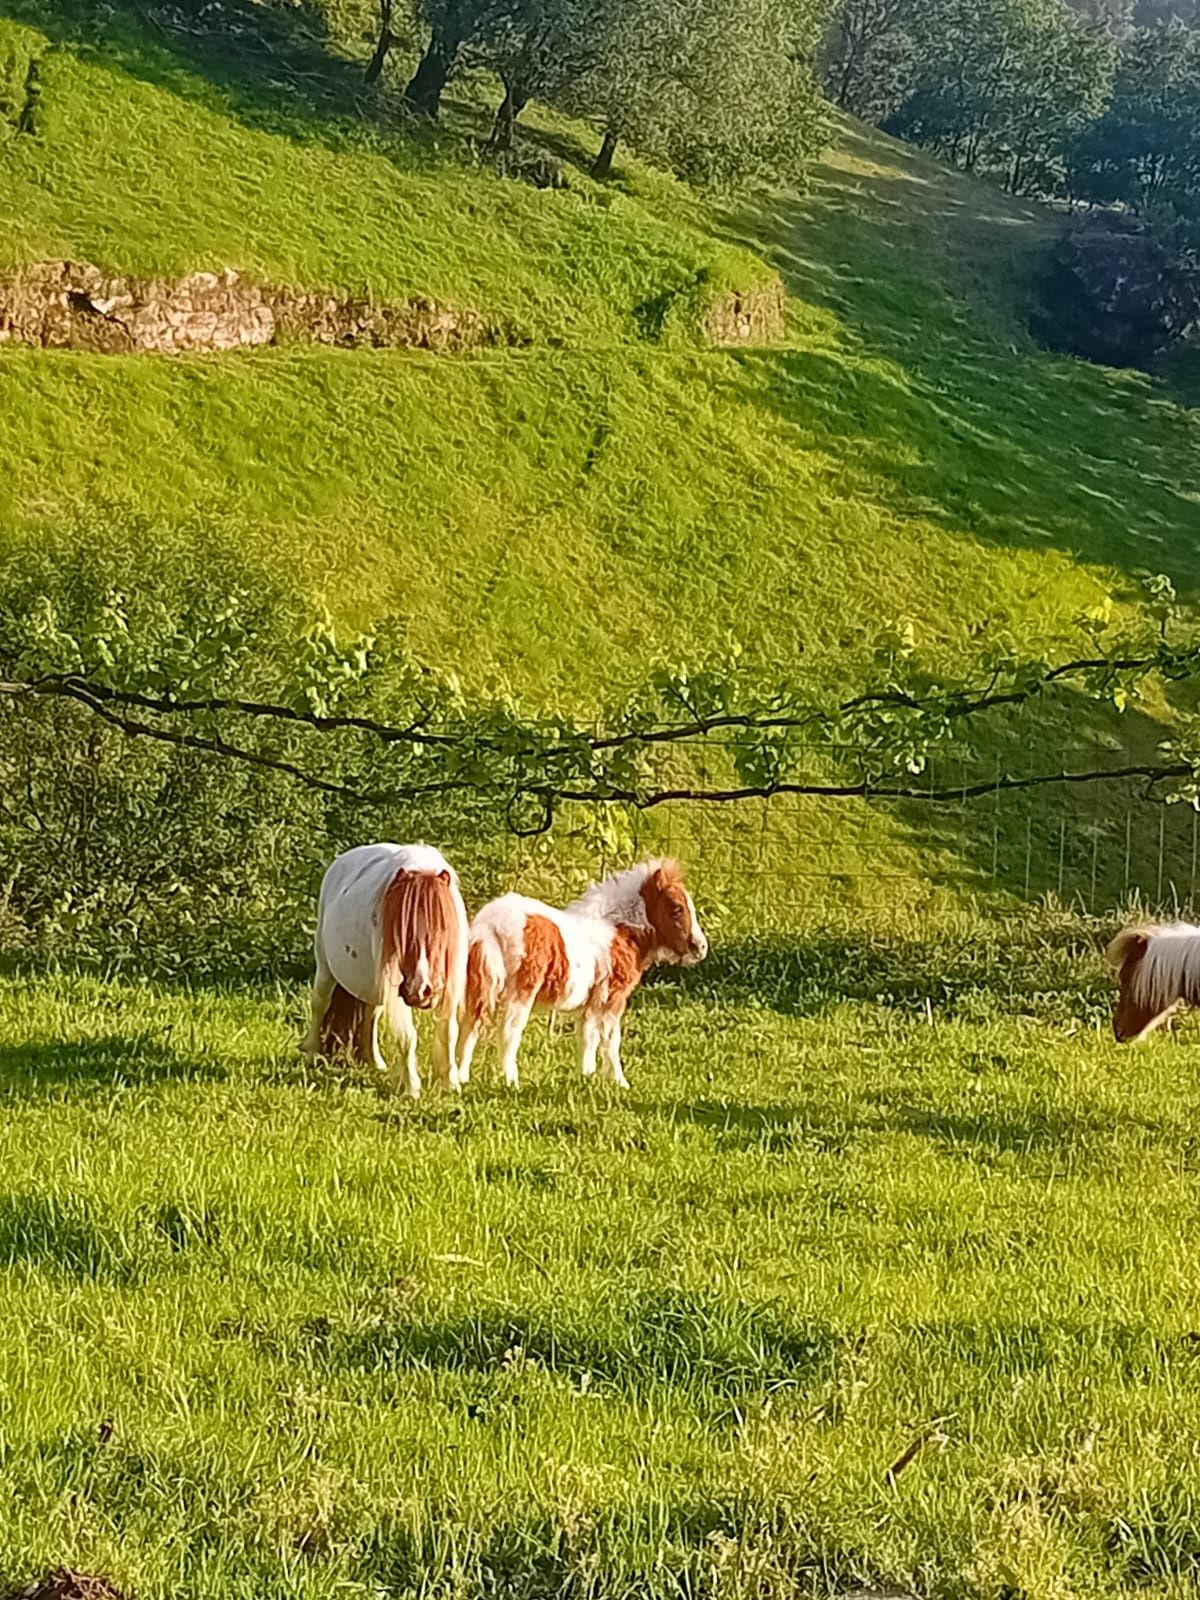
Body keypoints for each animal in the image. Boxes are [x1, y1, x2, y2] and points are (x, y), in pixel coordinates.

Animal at [302, 844, 467, 1094]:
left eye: (442, 928)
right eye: (402, 931)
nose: (420, 991)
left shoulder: (450, 987)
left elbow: (449, 1032)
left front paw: (450, 1083)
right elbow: (407, 1037)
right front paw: (411, 1087)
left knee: (371, 1017)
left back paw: (374, 1062)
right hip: (326, 969)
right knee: (319, 1005)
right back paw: (312, 1053)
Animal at [457, 857, 704, 1094]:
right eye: (676, 908)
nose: (700, 947)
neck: (620, 931)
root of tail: (491, 924)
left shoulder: (590, 1005)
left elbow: (587, 1038)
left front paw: (586, 1077)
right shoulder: (612, 998)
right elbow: (611, 1040)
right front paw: (620, 1082)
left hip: (482, 985)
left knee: (471, 1025)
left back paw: (462, 1079)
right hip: (521, 991)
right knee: (508, 1031)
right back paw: (511, 1082)